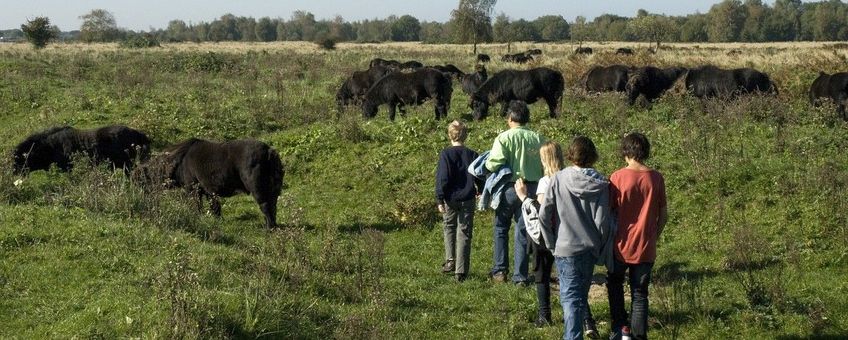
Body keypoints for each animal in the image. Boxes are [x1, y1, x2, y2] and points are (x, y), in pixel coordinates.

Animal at [133, 138, 284, 228]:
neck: (178, 161)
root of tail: (269, 152)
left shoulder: (194, 190)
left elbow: (198, 207)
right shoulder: (210, 192)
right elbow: (215, 208)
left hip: (258, 190)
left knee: (265, 206)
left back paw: (269, 228)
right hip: (273, 191)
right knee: (273, 207)